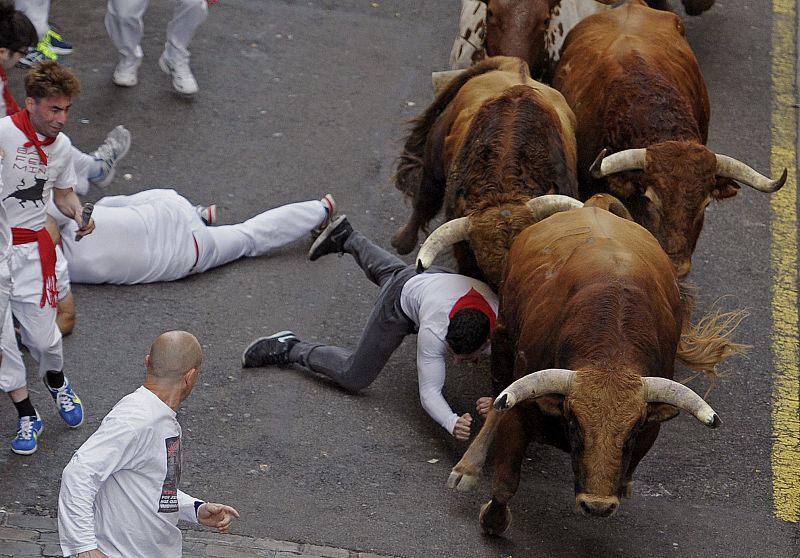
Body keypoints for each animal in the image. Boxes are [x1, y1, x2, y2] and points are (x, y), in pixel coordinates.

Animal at [392, 55, 576, 288]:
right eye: (487, 272)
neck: (504, 186)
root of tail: (514, 66)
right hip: (434, 156)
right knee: (425, 198)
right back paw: (402, 242)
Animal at [446, 195, 748, 536]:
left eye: (633, 430)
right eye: (575, 423)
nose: (598, 506)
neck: (609, 356)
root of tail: (595, 205)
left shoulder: (650, 427)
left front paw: (623, 483)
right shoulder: (520, 411)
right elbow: (506, 481)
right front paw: (493, 520)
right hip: (504, 337)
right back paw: (468, 467)